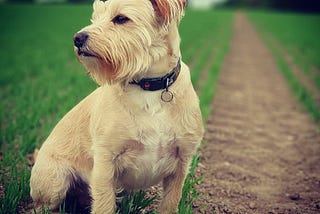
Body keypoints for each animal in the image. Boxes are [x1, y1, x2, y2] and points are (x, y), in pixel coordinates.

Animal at [31, 0, 204, 212]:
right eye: (95, 18)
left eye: (121, 18)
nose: (77, 38)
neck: (148, 88)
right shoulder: (105, 162)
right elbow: (104, 204)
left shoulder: (181, 162)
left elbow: (169, 204)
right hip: (54, 182)